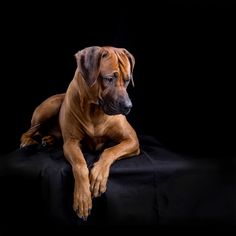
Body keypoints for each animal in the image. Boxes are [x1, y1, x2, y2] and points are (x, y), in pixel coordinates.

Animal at [20, 46, 140, 219]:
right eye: (109, 78)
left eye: (127, 80)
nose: (128, 106)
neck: (95, 111)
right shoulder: (71, 143)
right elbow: (80, 164)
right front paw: (83, 198)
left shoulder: (132, 140)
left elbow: (110, 151)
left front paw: (98, 175)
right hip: (50, 107)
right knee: (30, 130)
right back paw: (27, 141)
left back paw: (48, 139)